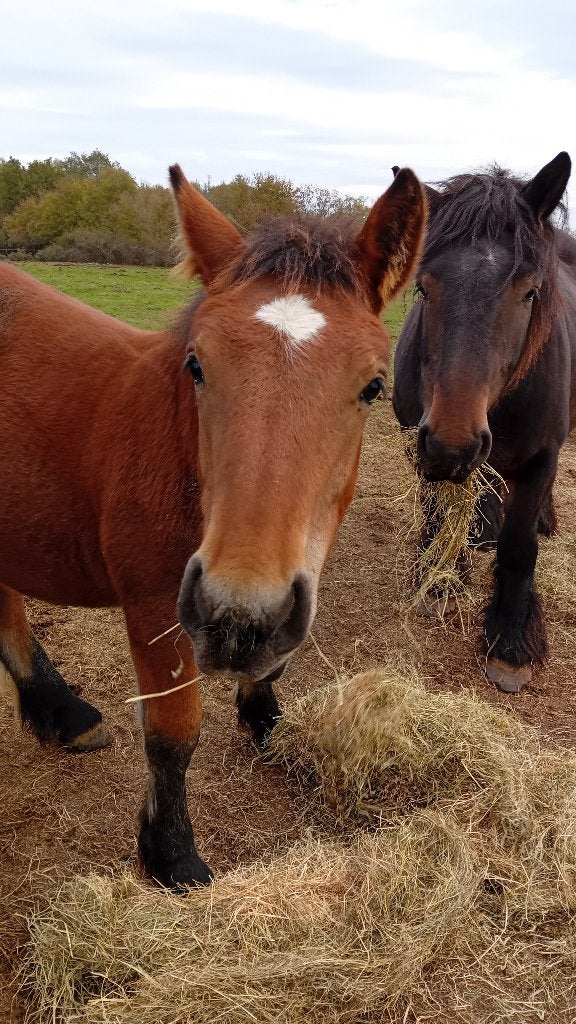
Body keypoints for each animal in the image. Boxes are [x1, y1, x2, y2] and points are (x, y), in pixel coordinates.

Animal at [0, 163, 426, 888]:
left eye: (374, 385)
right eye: (197, 364)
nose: (237, 618)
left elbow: (276, 661)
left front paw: (269, 723)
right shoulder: (156, 607)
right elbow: (173, 734)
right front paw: (170, 854)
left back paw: (59, 711)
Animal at [392, 152, 576, 694]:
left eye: (530, 293)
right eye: (423, 286)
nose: (452, 443)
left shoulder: (540, 458)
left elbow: (519, 547)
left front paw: (511, 642)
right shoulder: (424, 446)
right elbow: (438, 516)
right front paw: (440, 580)